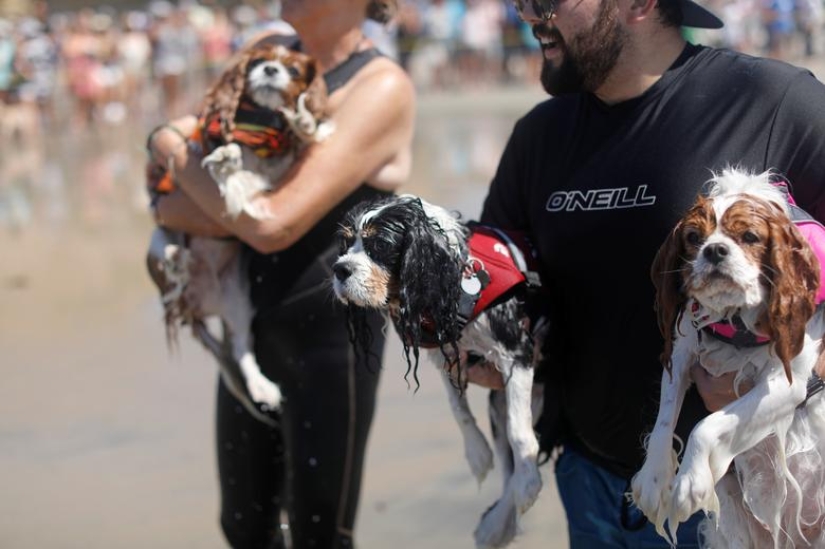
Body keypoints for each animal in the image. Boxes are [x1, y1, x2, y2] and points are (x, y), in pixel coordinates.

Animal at [145, 44, 332, 420]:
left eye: (293, 70)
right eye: (258, 62)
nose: (271, 70)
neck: (260, 125)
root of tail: (196, 306)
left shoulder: (278, 170)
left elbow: (291, 149)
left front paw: (306, 122)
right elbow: (222, 157)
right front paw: (224, 157)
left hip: (238, 306)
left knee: (242, 350)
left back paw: (262, 387)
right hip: (156, 247)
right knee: (167, 256)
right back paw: (175, 260)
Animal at [328, 195, 548, 544]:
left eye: (381, 244)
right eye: (346, 243)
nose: (339, 269)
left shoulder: (517, 349)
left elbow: (518, 430)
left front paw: (528, 484)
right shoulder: (448, 356)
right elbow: (458, 409)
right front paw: (477, 453)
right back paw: (496, 525)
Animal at [632, 169, 824, 544]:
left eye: (749, 236)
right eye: (693, 237)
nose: (715, 250)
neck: (737, 319)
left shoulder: (787, 383)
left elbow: (707, 425)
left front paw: (690, 482)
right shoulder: (682, 348)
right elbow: (664, 417)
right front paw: (654, 479)